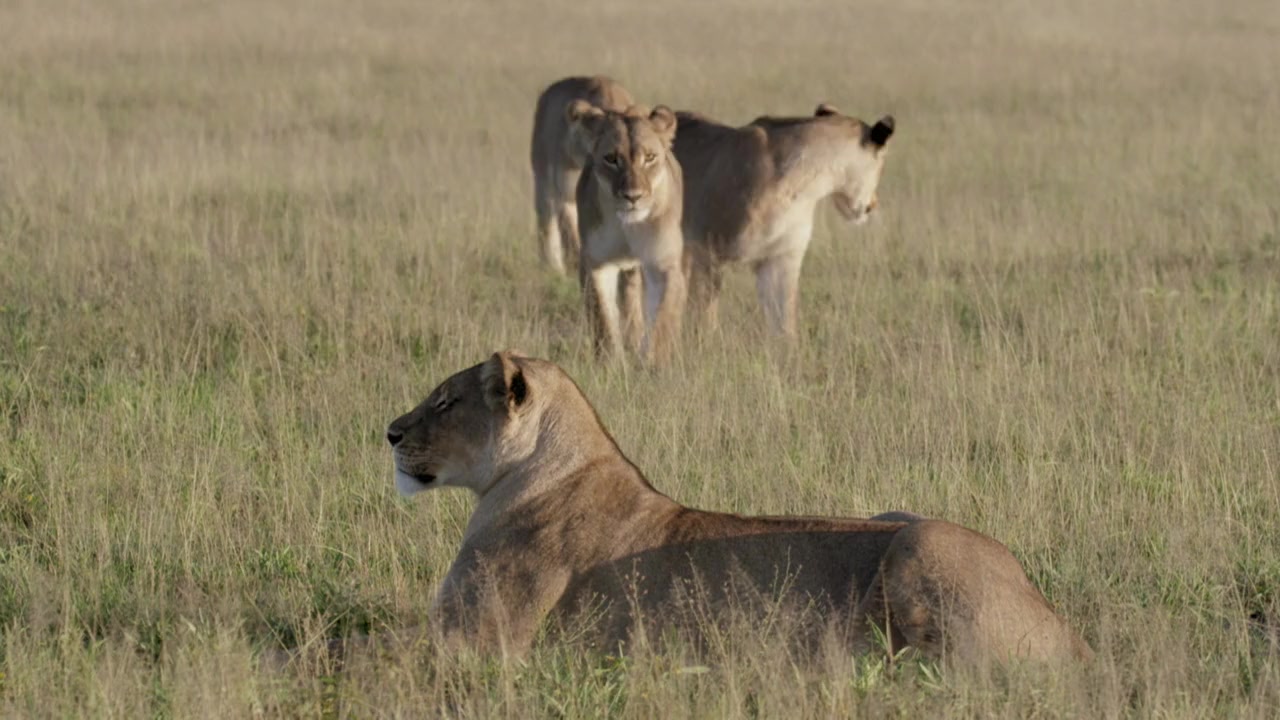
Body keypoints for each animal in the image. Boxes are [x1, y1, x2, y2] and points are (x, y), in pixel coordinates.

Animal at [387, 351, 1094, 665]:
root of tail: (1063, 625)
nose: (389, 432)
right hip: (894, 513)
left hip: (924, 549)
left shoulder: (479, 642)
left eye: (445, 401)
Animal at [530, 76, 635, 275]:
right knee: (547, 223)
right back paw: (552, 267)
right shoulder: (566, 191)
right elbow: (570, 231)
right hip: (543, 181)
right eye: (596, 136)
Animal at [567, 101, 686, 365]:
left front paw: (652, 362)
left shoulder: (664, 264)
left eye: (650, 158)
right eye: (611, 159)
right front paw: (611, 362)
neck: (628, 226)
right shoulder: (596, 262)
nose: (633, 196)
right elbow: (602, 317)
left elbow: (662, 318)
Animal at [673, 104, 895, 337]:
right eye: (881, 166)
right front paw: (703, 343)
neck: (806, 185)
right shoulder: (706, 254)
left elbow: (784, 324)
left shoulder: (781, 258)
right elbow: (704, 319)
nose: (873, 205)